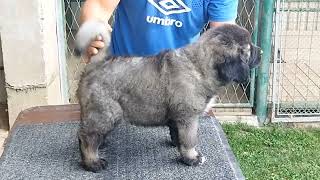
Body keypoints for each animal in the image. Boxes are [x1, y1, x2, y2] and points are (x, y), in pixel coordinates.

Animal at [74, 20, 260, 172]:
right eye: (249, 48)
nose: (262, 51)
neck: (199, 67)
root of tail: (98, 62)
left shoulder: (178, 117)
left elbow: (179, 136)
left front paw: (179, 148)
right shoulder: (188, 117)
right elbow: (190, 139)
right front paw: (192, 158)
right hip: (105, 112)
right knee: (87, 137)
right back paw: (93, 162)